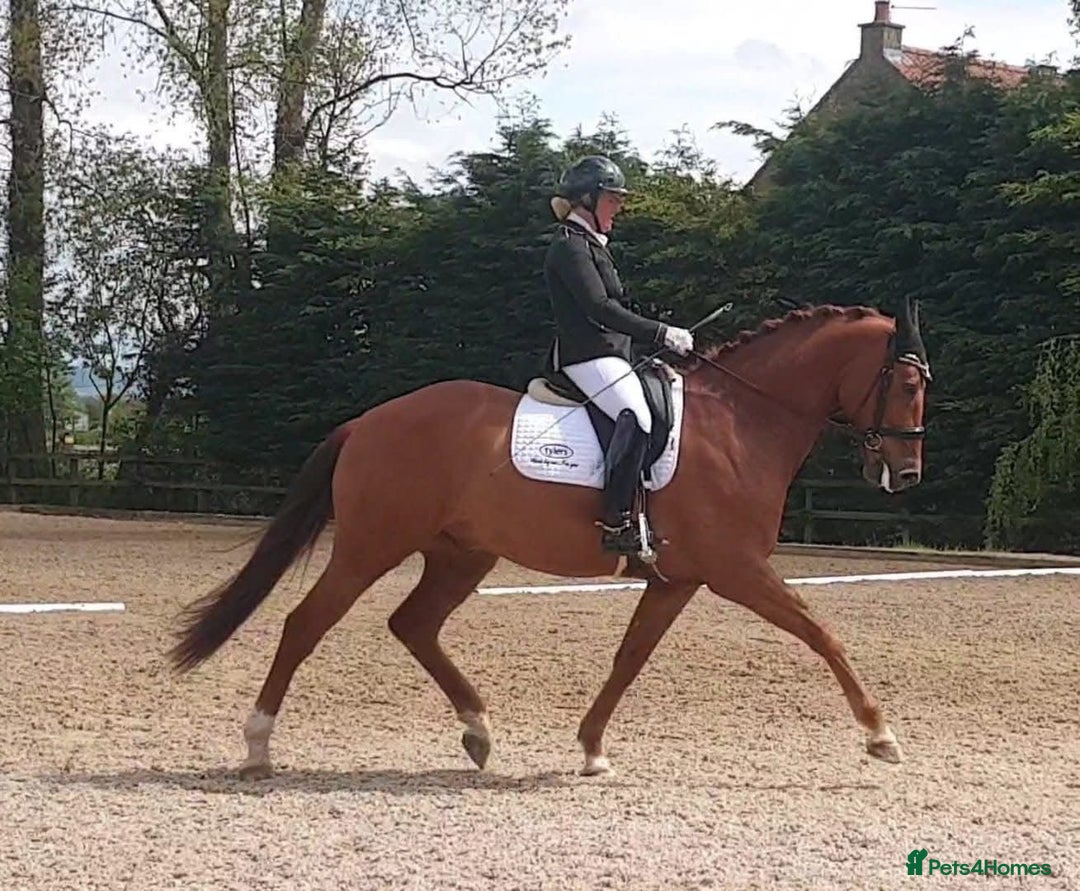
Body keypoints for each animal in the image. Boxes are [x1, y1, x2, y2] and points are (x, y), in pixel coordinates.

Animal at [167, 295, 932, 779]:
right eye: (907, 387)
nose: (907, 473)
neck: (741, 424)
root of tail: (366, 421)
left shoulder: (678, 578)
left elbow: (629, 657)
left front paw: (592, 749)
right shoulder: (736, 570)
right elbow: (820, 632)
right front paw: (881, 734)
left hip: (462, 554)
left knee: (412, 623)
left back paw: (478, 731)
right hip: (369, 547)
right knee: (305, 623)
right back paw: (259, 746)